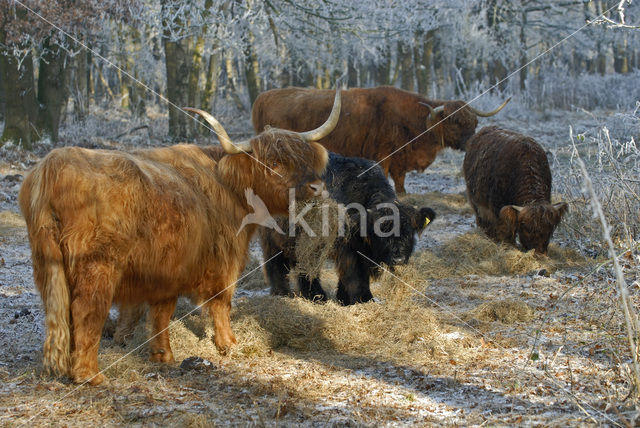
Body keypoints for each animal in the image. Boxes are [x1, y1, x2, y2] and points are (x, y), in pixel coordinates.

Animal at [17, 89, 342, 384]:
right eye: (273, 164)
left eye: (303, 158)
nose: (317, 187)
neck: (228, 186)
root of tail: (52, 166)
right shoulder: (222, 259)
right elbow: (221, 302)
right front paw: (229, 344)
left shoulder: (166, 270)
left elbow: (160, 314)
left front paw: (162, 355)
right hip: (97, 267)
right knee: (86, 312)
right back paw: (90, 376)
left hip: (49, 266)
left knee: (62, 314)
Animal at [252, 85, 508, 192]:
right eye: (454, 122)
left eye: (473, 122)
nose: (471, 142)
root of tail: (262, 97)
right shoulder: (383, 155)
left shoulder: (400, 159)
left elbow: (401, 179)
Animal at [462, 126, 568, 254]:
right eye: (526, 228)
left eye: (550, 229)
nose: (539, 252)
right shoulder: (497, 208)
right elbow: (505, 228)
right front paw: (507, 245)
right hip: (475, 200)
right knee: (482, 220)